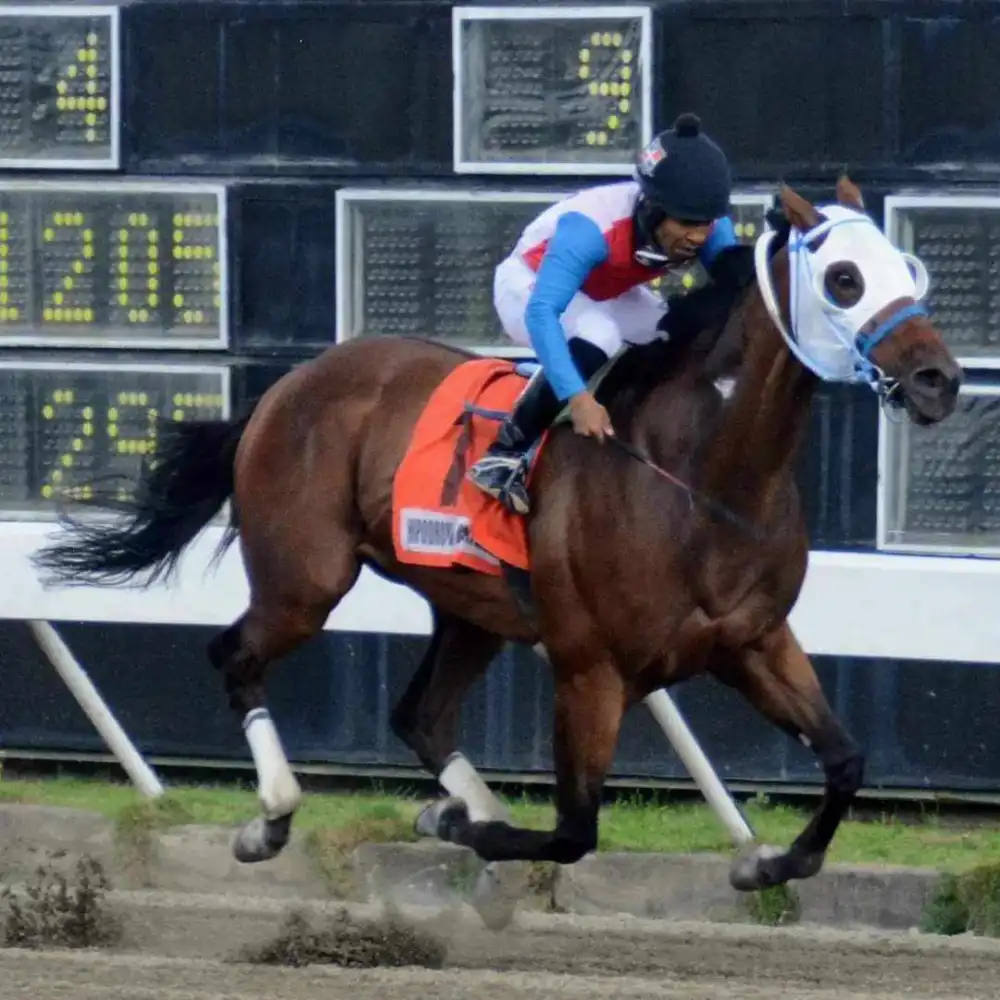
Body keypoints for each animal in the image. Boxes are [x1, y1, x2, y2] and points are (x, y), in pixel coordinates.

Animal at [33, 178, 961, 929]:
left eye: (910, 270)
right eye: (844, 279)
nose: (938, 381)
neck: (700, 478)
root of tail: (288, 385)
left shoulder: (752, 642)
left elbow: (845, 760)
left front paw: (766, 861)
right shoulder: (589, 668)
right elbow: (573, 831)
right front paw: (474, 833)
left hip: (468, 610)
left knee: (418, 714)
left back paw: (451, 808)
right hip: (306, 580)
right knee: (236, 655)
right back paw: (272, 817)